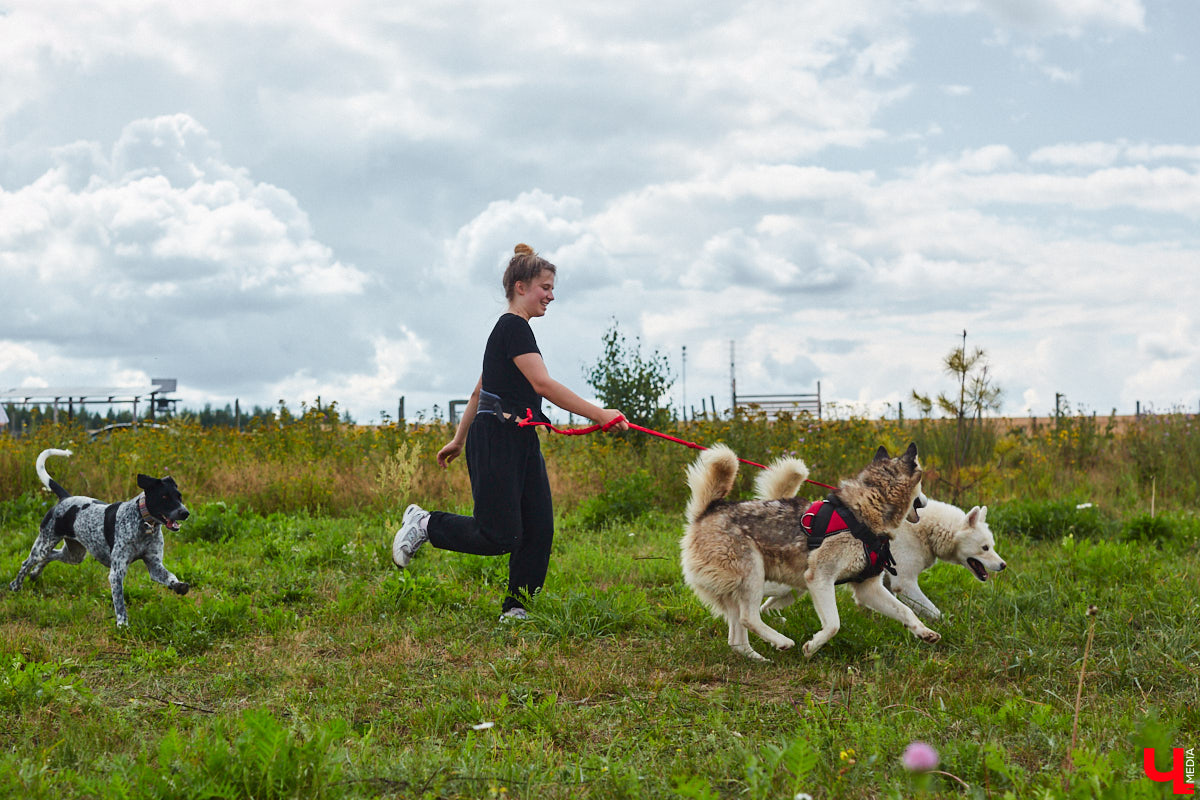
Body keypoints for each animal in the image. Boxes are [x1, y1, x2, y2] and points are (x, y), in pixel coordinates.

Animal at [9, 450, 192, 623]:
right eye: (164, 497)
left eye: (179, 496)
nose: (185, 513)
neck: (144, 524)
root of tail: (66, 498)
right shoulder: (117, 572)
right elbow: (120, 604)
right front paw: (122, 625)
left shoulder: (154, 565)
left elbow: (170, 577)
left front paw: (178, 585)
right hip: (44, 544)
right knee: (27, 562)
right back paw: (16, 585)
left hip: (74, 555)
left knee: (50, 556)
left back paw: (35, 574)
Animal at [681, 441, 931, 662]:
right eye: (921, 487)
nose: (926, 501)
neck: (863, 513)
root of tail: (708, 510)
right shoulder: (820, 578)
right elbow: (833, 625)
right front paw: (812, 646)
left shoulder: (867, 588)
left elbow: (905, 611)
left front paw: (924, 631)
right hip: (753, 574)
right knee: (749, 617)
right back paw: (782, 641)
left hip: (747, 588)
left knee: (737, 639)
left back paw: (759, 658)